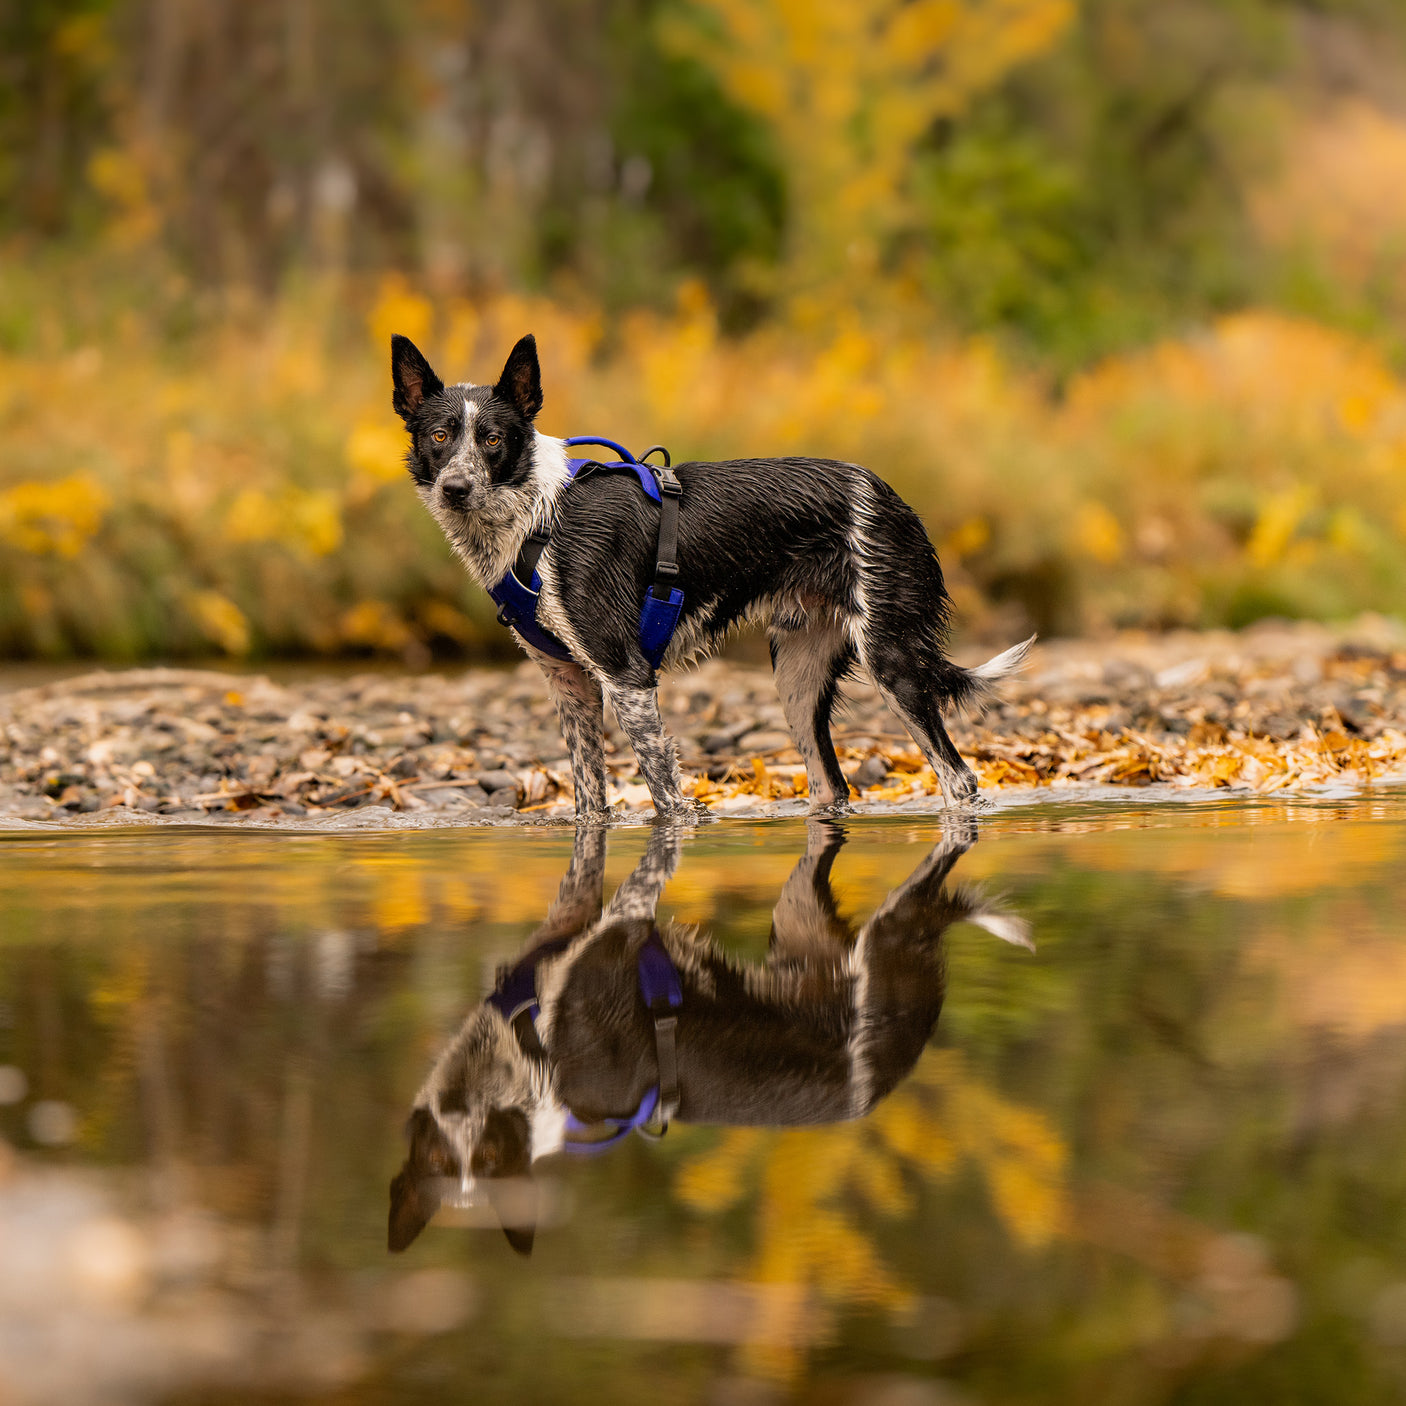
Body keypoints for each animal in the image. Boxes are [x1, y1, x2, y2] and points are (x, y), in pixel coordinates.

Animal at [388, 821, 1034, 1259]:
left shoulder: (615, 934)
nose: (462, 1114)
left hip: (889, 933)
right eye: (438, 1158)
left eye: (491, 1157)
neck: (529, 1068)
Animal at [390, 333, 1029, 821]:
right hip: (797, 680)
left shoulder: (626, 676)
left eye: (493, 440)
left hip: (891, 661)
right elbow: (590, 802)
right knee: (832, 786)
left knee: (959, 779)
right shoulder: (570, 686)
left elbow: (666, 793)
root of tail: (897, 502)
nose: (455, 488)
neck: (535, 515)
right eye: (439, 437)